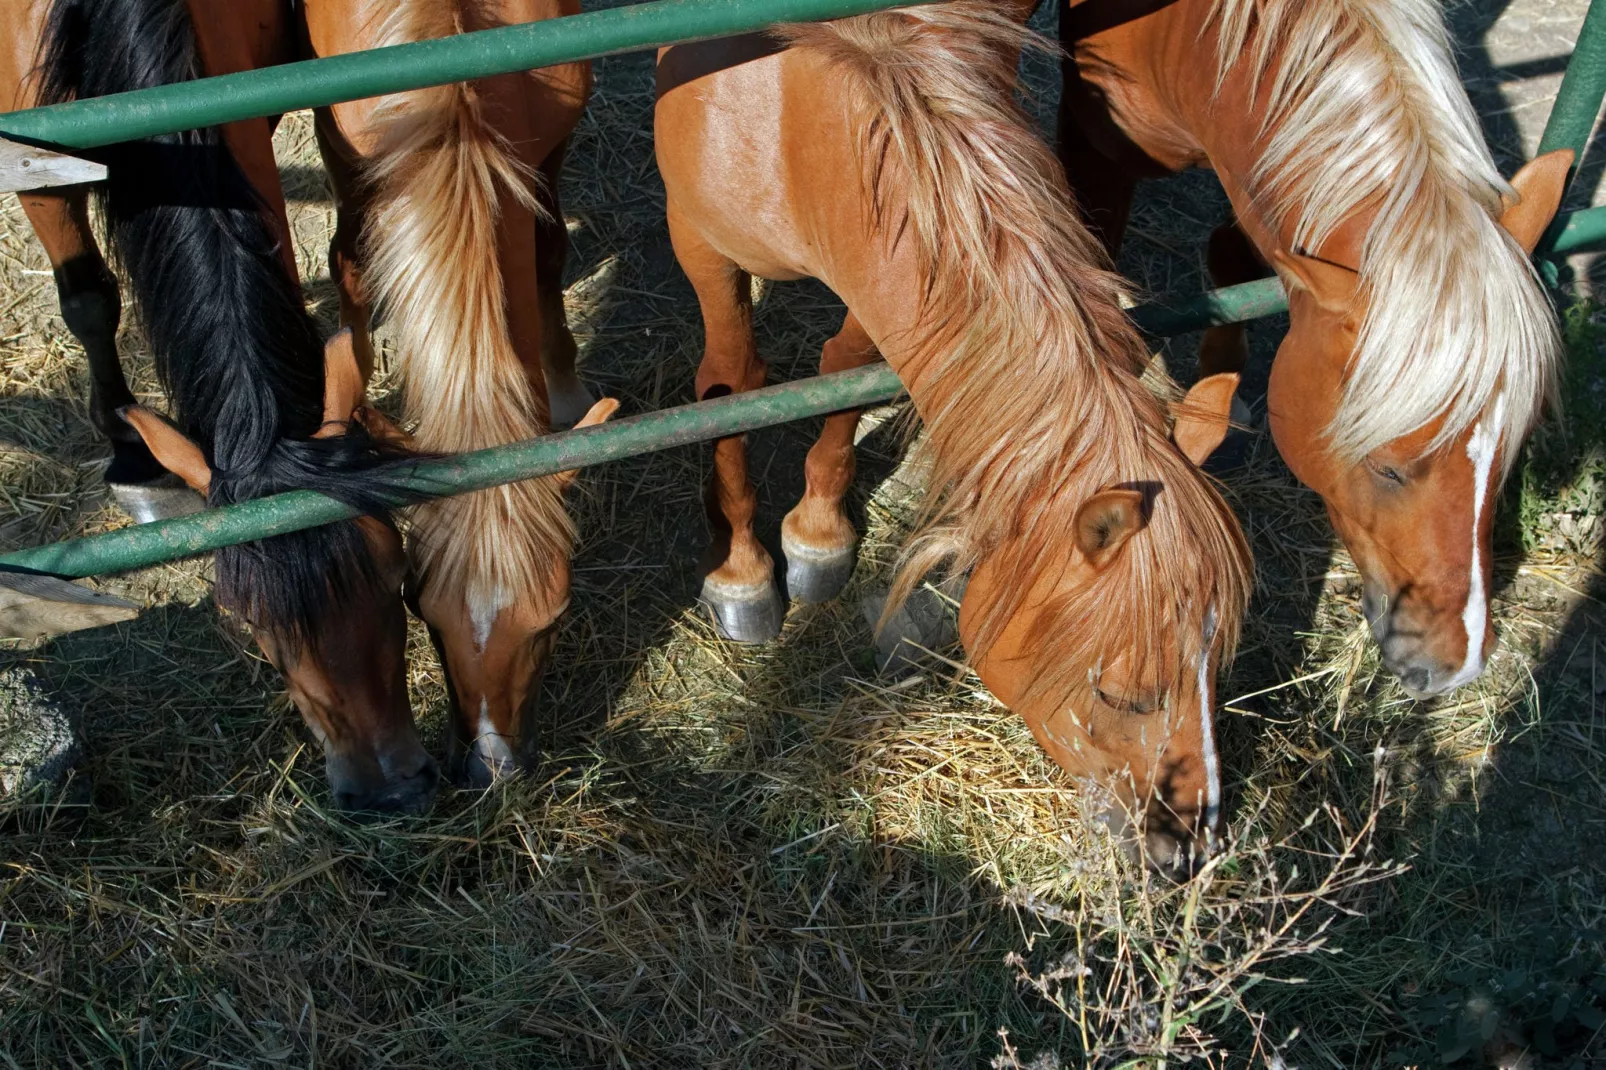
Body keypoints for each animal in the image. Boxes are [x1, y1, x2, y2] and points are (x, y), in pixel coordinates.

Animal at [301, 0, 619, 784]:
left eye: (554, 615)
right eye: (418, 606)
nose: (489, 770)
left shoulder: (549, 146)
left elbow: (546, 253)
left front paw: (565, 387)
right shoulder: (344, 144)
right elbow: (351, 262)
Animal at [652, 0, 1252, 873]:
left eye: (1215, 665)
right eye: (1120, 693)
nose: (1187, 847)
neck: (789, 107)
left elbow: (849, 363)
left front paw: (818, 532)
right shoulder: (699, 243)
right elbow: (732, 382)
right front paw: (742, 570)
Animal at [1053, 0, 1567, 690]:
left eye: (1510, 451)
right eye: (1386, 467)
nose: (1454, 667)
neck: (1194, 36)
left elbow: (1235, 258)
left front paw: (1218, 411)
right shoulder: (1092, 141)